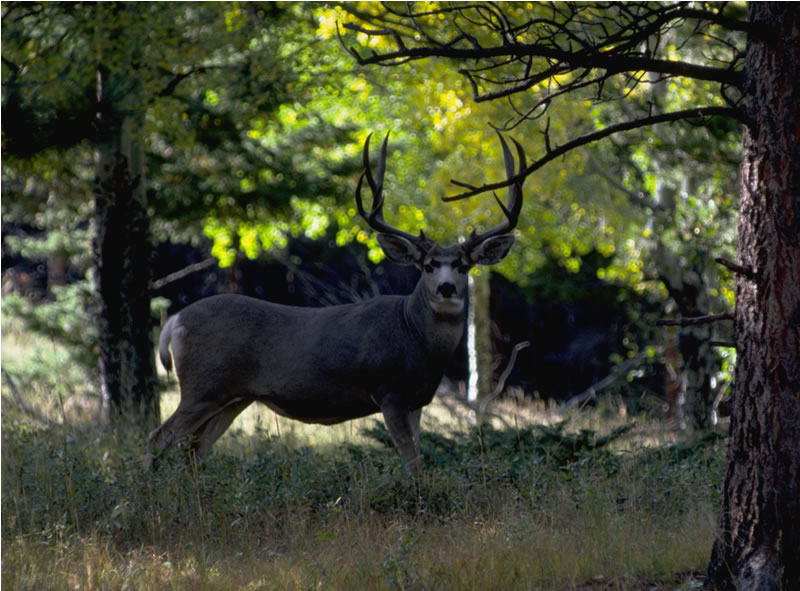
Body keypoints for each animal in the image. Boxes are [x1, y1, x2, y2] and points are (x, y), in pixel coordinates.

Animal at [146, 131, 525, 477]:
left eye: (463, 265)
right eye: (429, 265)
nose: (446, 288)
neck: (414, 336)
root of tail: (175, 322)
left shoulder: (416, 400)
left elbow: (417, 458)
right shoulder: (389, 391)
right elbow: (411, 464)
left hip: (232, 397)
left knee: (194, 449)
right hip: (203, 386)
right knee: (159, 438)